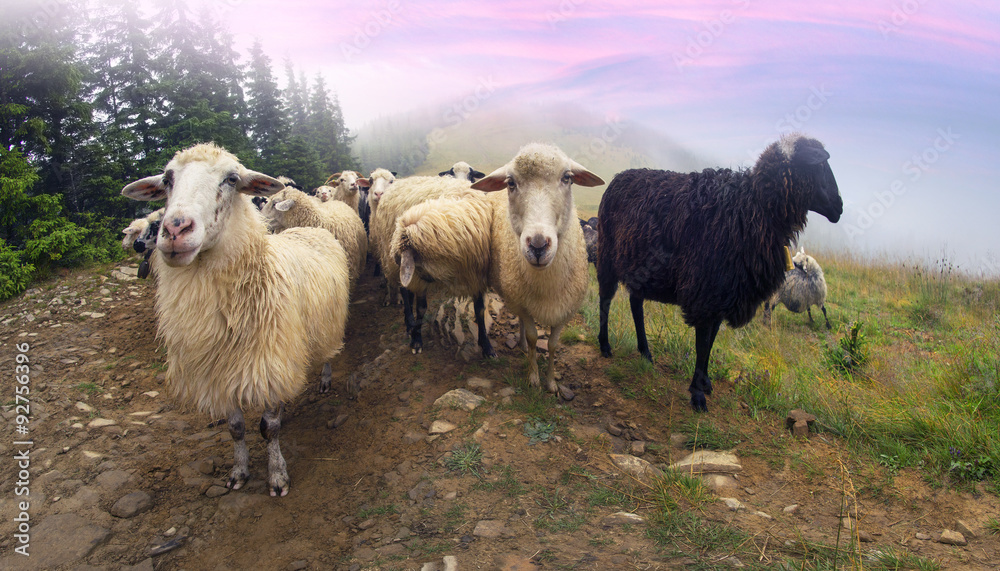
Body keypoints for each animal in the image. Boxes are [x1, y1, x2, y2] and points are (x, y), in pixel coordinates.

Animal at [120, 142, 350, 496]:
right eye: (167, 180)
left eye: (231, 179)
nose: (175, 229)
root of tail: (309, 229)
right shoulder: (219, 373)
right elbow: (236, 428)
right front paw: (239, 472)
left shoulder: (269, 361)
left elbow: (269, 428)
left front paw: (277, 475)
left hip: (328, 324)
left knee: (326, 353)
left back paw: (324, 378)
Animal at [394, 143, 605, 392]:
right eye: (510, 183)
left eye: (567, 178)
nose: (538, 245)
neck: (546, 282)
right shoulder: (523, 301)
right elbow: (534, 337)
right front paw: (534, 377)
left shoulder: (566, 309)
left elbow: (553, 344)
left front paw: (552, 382)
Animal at [596, 133, 843, 412]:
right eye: (820, 165)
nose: (839, 207)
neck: (754, 208)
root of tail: (618, 177)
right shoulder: (706, 292)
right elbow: (703, 343)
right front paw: (697, 394)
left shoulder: (724, 292)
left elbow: (711, 339)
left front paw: (705, 382)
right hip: (607, 255)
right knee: (605, 300)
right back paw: (605, 345)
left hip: (640, 268)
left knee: (636, 305)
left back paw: (646, 353)